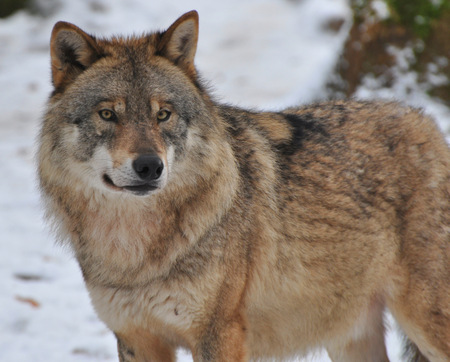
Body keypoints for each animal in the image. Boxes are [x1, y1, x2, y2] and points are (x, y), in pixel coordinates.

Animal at [39, 9, 450, 360]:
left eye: (163, 114)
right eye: (108, 114)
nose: (149, 167)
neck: (134, 252)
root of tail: (427, 122)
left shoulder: (219, 334)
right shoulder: (136, 338)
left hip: (425, 322)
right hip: (350, 336)